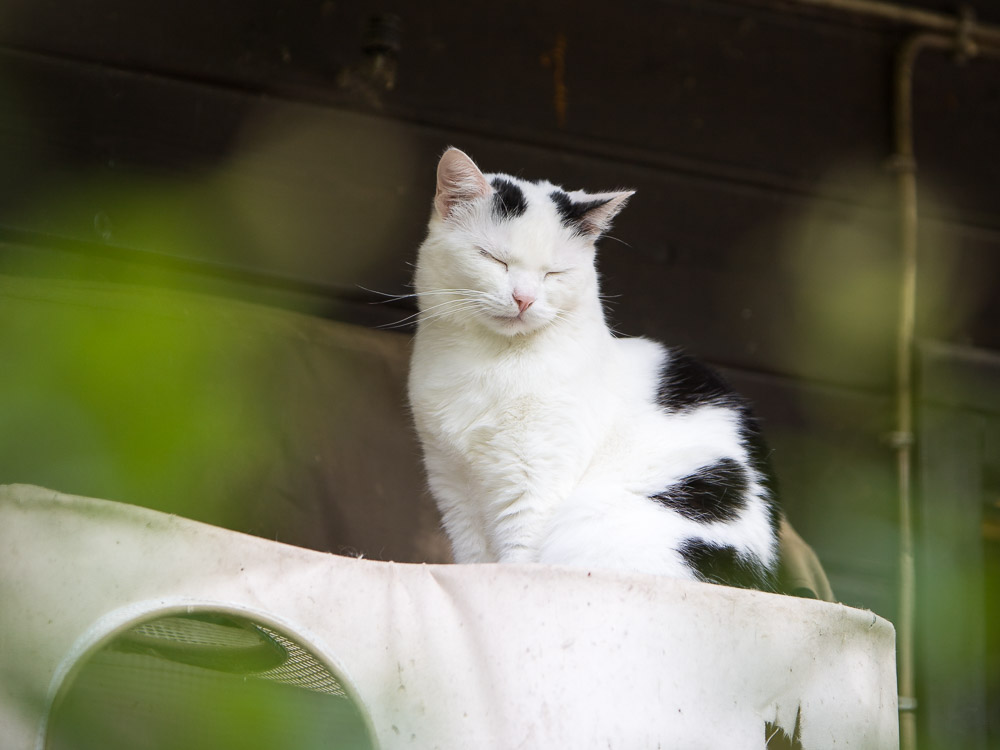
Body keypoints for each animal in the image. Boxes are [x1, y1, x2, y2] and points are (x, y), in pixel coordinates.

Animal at [406, 148, 780, 592]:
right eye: (494, 259)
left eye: (554, 273)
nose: (524, 299)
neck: (488, 361)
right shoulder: (452, 484)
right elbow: (474, 560)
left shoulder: (534, 484)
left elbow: (517, 560)